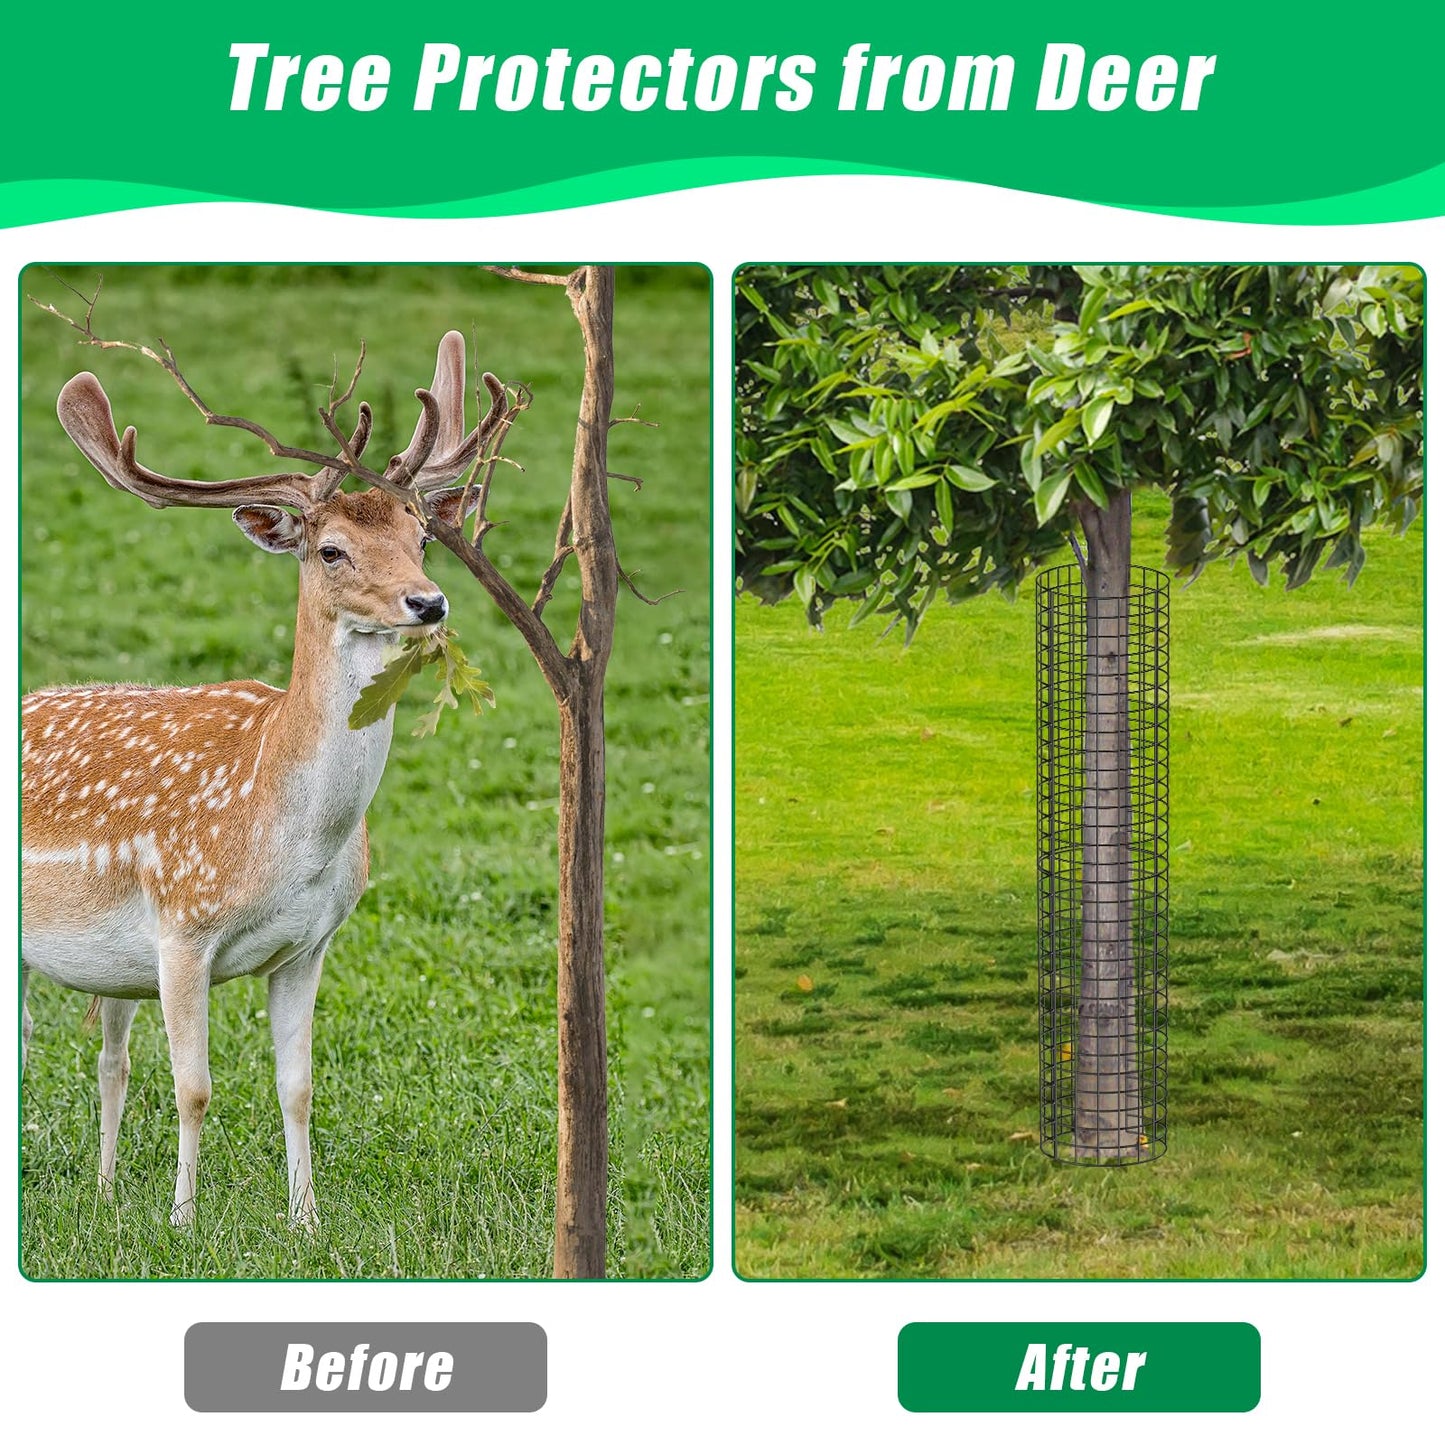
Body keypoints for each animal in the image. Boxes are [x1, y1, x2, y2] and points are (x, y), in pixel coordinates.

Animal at [21, 332, 503, 1227]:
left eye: (420, 537)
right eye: (331, 549)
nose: (429, 602)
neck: (284, 833)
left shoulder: (309, 944)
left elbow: (299, 1086)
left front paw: (306, 1220)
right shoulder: (182, 926)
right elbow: (195, 1087)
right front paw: (182, 1220)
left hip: (111, 969)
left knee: (109, 1054)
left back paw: (104, 1191)